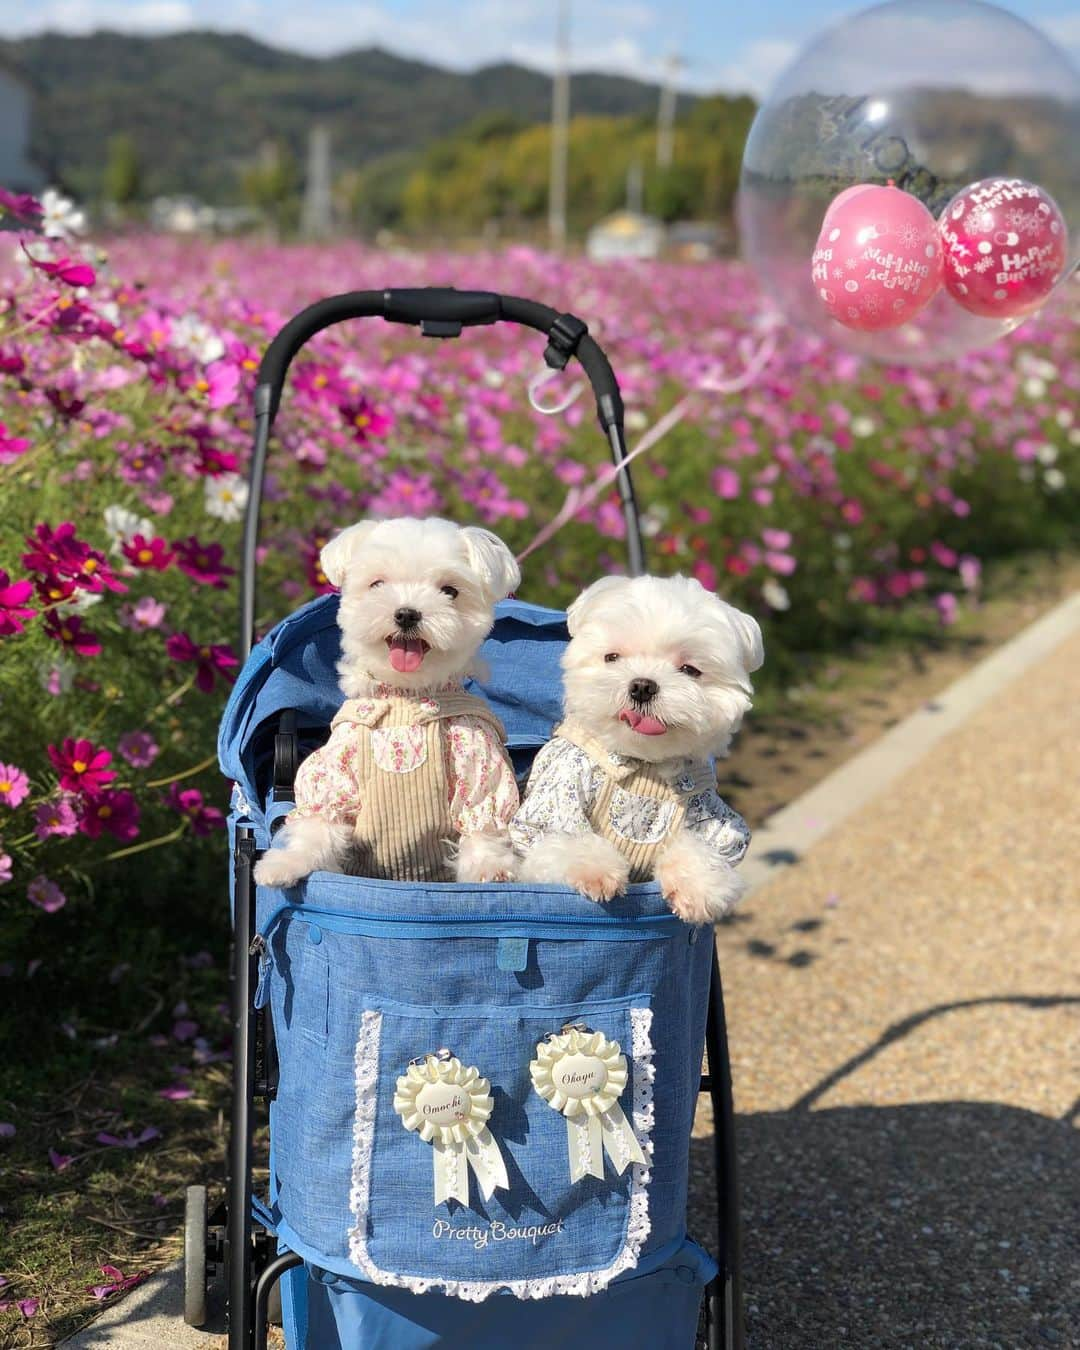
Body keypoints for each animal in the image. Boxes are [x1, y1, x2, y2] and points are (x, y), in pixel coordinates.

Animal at [253, 521, 523, 891]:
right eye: (377, 584)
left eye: (449, 591)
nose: (407, 613)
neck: (406, 698)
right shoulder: (334, 773)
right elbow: (318, 822)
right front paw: (285, 863)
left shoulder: (479, 766)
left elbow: (481, 821)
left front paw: (489, 867)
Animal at [510, 575, 761, 923]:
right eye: (612, 657)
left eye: (690, 670)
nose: (642, 686)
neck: (644, 764)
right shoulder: (555, 799)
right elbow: (566, 838)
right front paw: (594, 871)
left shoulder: (712, 817)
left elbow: (704, 848)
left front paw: (698, 886)